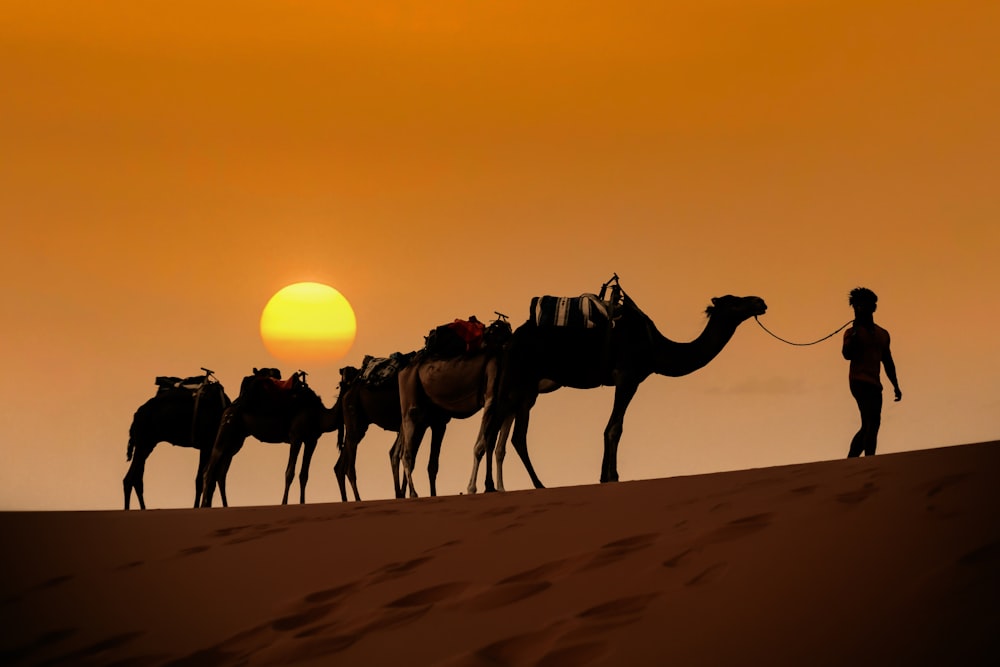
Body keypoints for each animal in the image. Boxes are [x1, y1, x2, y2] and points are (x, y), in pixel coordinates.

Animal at [124, 370, 231, 512]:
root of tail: (136, 414)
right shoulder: (206, 445)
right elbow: (202, 480)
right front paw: (197, 507)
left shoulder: (211, 447)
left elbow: (209, 481)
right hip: (144, 442)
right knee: (129, 479)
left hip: (147, 444)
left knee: (137, 478)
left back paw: (143, 508)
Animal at [199, 370, 340, 506]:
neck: (319, 414)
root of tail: (229, 406)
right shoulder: (296, 437)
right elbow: (289, 473)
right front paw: (284, 503)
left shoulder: (312, 440)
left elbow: (304, 475)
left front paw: (302, 503)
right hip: (227, 427)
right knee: (209, 469)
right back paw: (204, 505)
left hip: (236, 439)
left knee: (221, 473)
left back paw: (226, 505)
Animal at [480, 282, 768, 490]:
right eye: (734, 300)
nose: (760, 301)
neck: (656, 347)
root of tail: (509, 339)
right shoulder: (628, 377)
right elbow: (614, 428)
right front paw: (611, 476)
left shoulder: (627, 379)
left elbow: (612, 427)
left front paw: (604, 475)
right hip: (517, 378)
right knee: (496, 428)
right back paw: (496, 486)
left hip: (526, 388)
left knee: (514, 435)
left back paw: (531, 484)